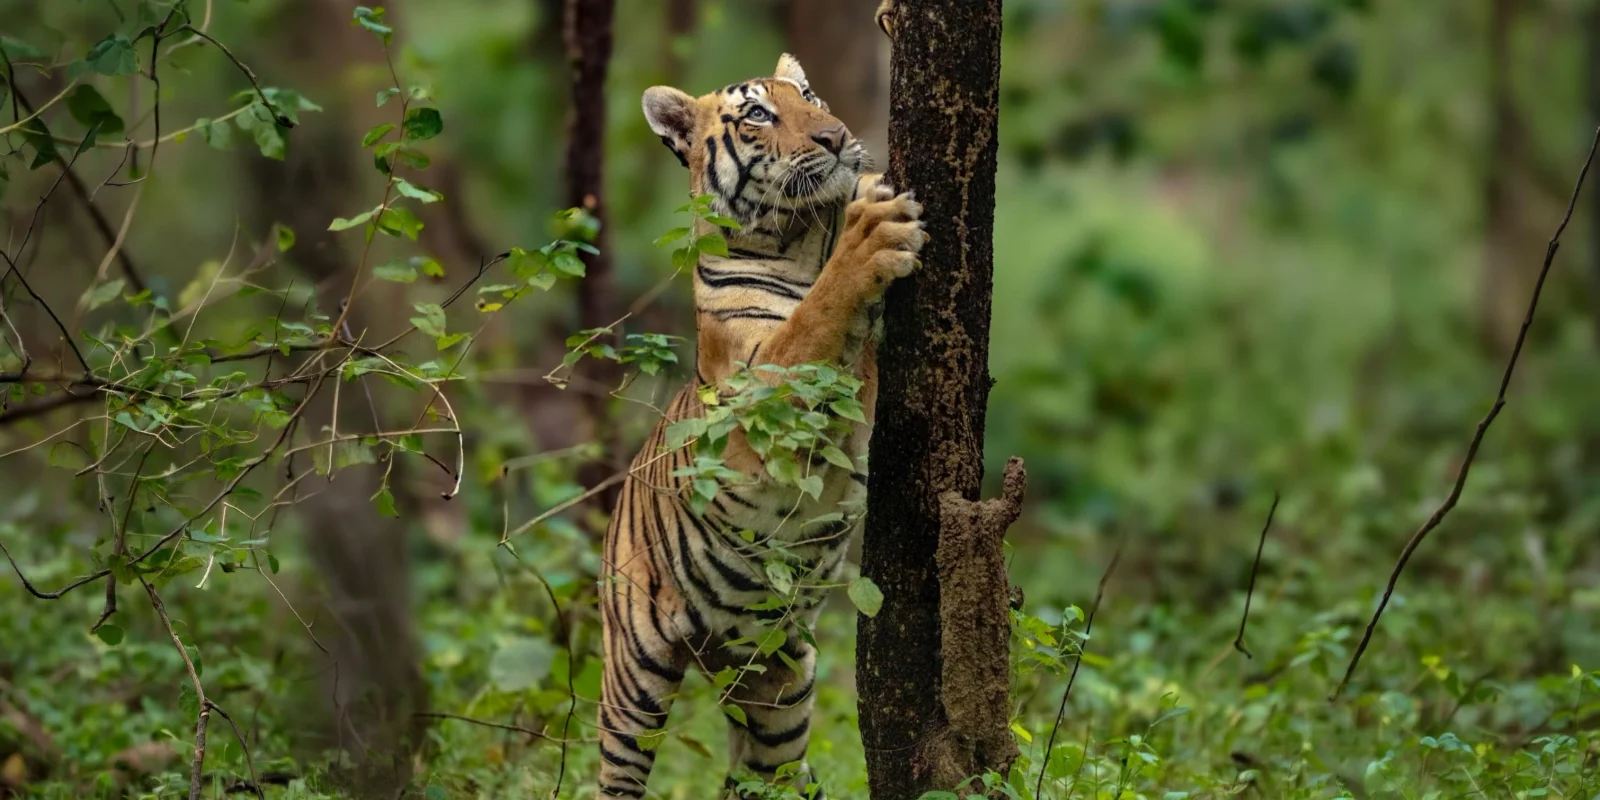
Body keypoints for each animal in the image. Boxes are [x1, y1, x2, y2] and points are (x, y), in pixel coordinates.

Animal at [594, 52, 925, 799]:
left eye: (809, 97)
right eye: (757, 114)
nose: (836, 136)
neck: (804, 239)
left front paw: (868, 190)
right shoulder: (760, 406)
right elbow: (814, 322)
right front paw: (872, 232)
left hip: (778, 688)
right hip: (633, 684)